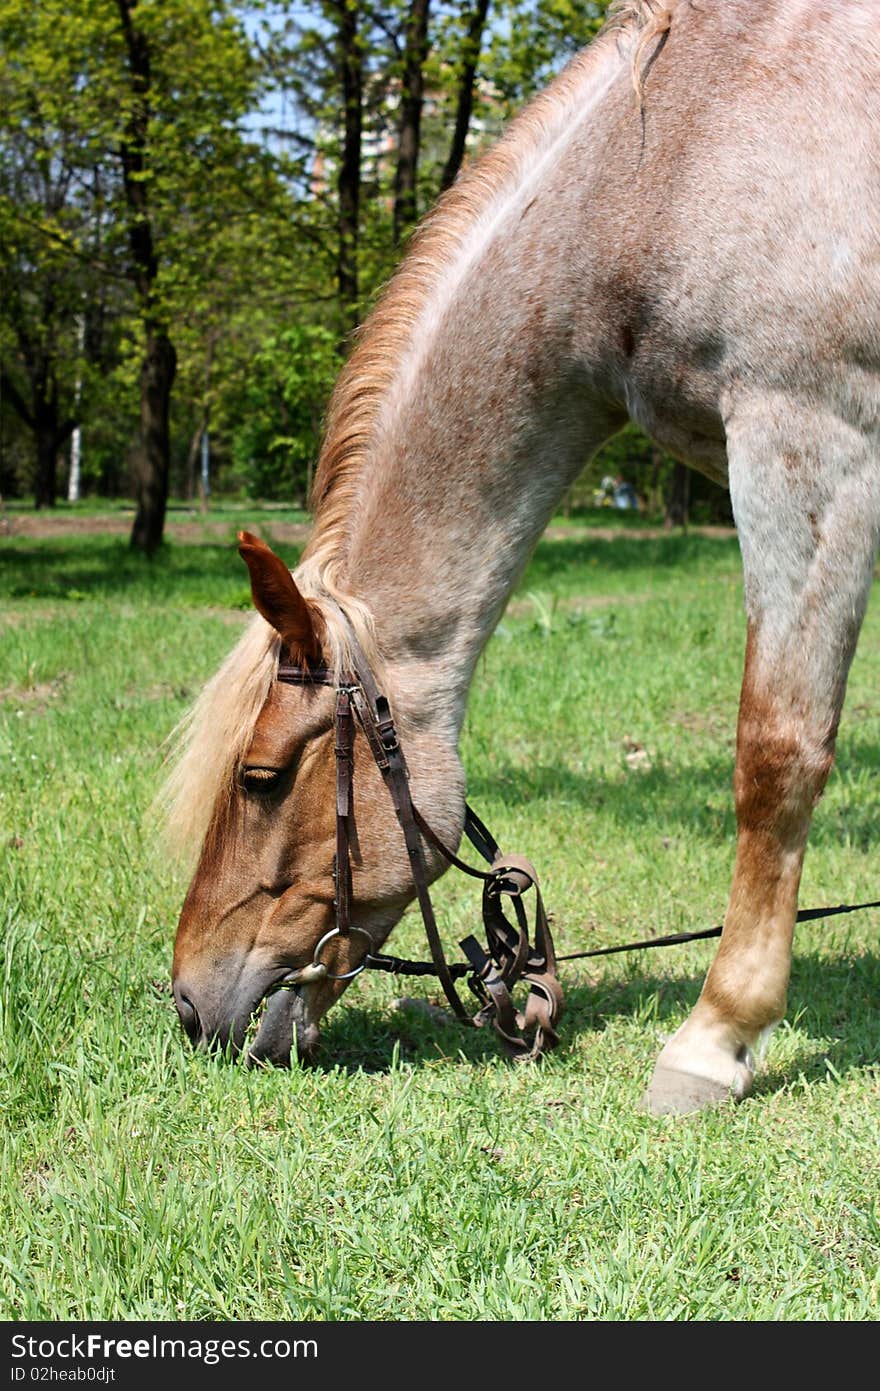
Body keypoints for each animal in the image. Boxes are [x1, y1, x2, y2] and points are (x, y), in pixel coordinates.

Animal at [168, 0, 878, 1107]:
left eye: (261, 776)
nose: (189, 1001)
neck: (668, 158)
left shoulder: (808, 441)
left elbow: (776, 751)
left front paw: (715, 1035)